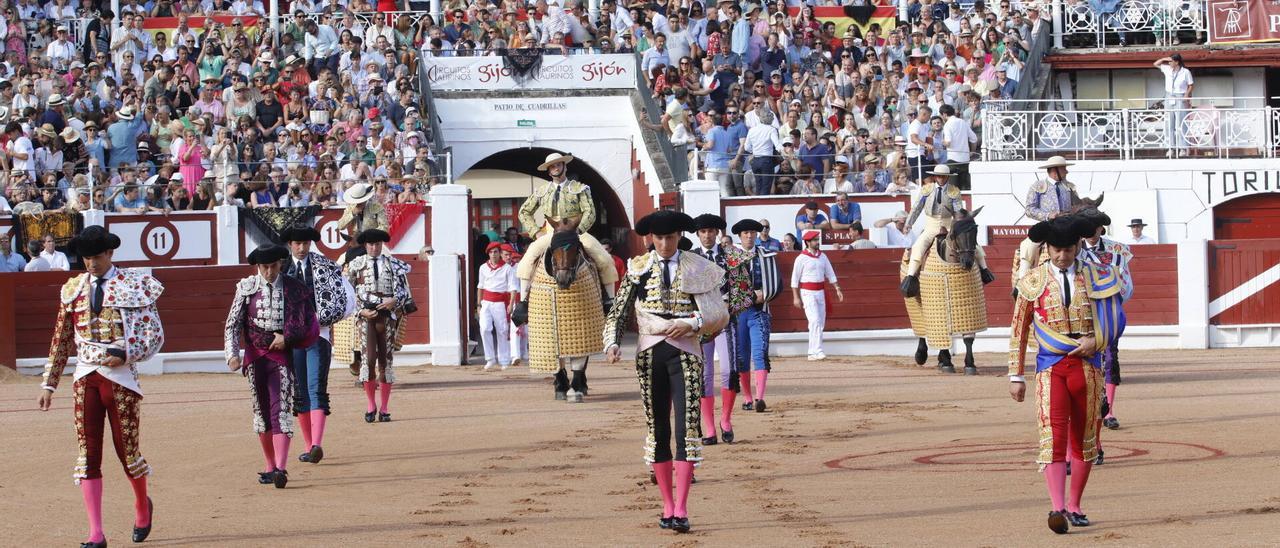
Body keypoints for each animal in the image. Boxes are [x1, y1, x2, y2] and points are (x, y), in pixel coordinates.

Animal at [901, 207, 988, 373]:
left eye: (975, 230)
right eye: (953, 233)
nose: (967, 262)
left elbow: (968, 338)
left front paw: (969, 364)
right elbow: (939, 333)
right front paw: (947, 362)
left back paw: (940, 360)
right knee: (922, 327)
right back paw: (922, 356)